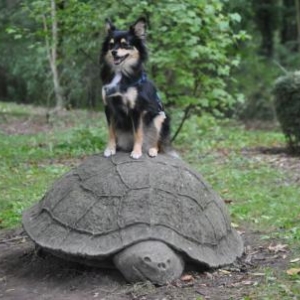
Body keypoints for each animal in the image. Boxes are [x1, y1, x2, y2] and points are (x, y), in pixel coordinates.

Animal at [100, 17, 170, 159]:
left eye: (125, 44)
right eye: (111, 44)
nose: (113, 52)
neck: (120, 72)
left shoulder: (136, 109)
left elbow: (138, 133)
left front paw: (136, 152)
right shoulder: (109, 108)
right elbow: (111, 131)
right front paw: (110, 149)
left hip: (160, 117)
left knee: (158, 142)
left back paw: (152, 150)